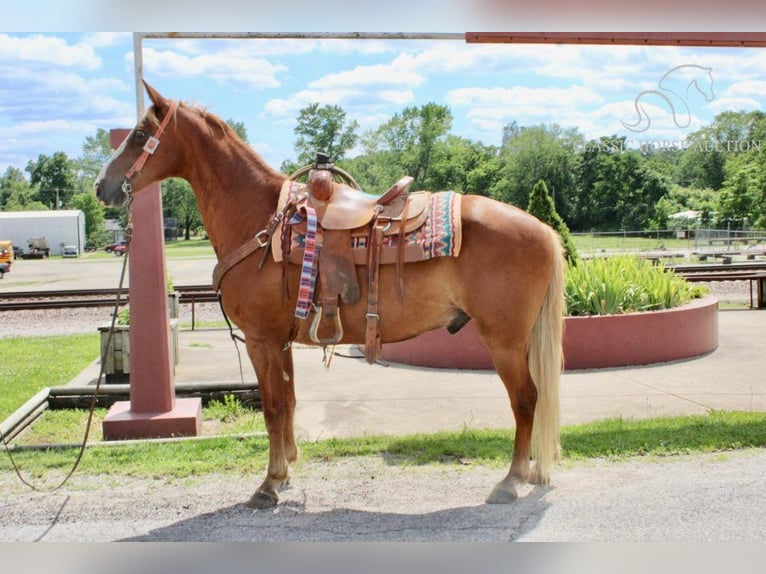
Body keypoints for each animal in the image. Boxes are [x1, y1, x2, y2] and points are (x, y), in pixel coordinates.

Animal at [94, 83, 564, 510]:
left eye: (139, 134)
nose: (102, 186)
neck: (260, 220)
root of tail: (543, 229)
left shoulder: (261, 340)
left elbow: (272, 408)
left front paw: (268, 484)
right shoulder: (280, 340)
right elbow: (288, 402)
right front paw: (285, 471)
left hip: (504, 339)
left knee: (526, 399)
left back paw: (511, 480)